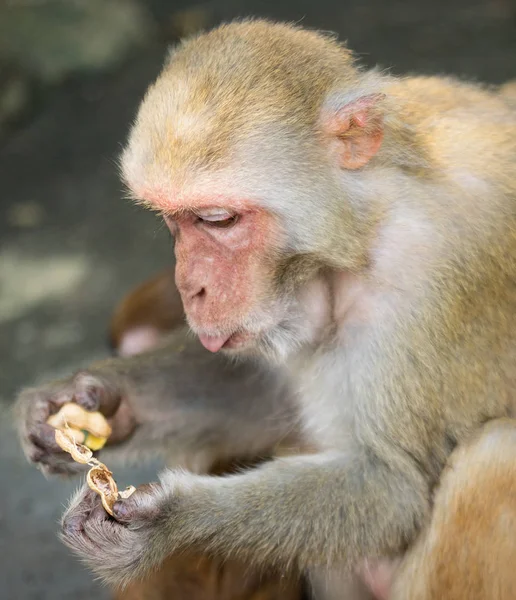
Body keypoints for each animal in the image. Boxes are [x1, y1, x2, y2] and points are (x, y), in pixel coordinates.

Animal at [15, 19, 516, 600]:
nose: (190, 288)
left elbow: (393, 487)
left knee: (495, 456)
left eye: (218, 219)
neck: (365, 229)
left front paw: (170, 521)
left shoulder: (425, 277)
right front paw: (93, 401)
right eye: (173, 221)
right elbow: (265, 395)